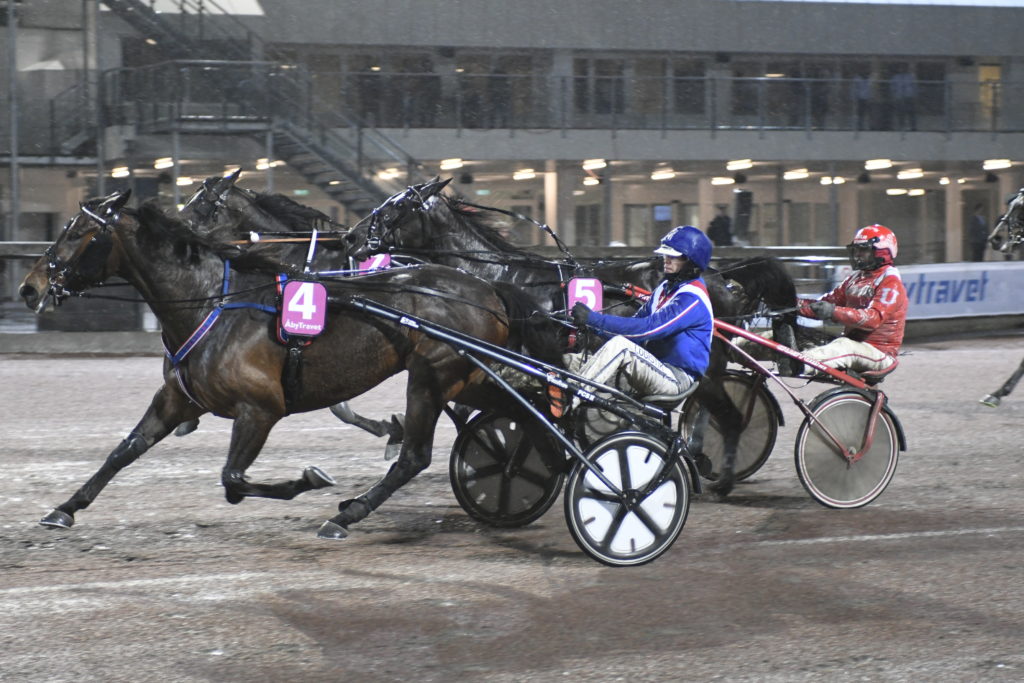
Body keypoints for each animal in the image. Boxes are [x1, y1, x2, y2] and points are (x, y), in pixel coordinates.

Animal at [18, 190, 563, 539]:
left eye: (78, 233)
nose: (29, 287)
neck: (214, 303)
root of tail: (489, 288)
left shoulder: (260, 409)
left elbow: (233, 480)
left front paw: (310, 480)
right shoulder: (175, 399)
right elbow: (123, 451)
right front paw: (64, 509)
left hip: (431, 378)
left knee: (416, 456)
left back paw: (348, 514)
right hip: (468, 377)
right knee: (528, 414)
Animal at [343, 178, 802, 495]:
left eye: (397, 205)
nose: (350, 236)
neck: (497, 278)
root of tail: (722, 278)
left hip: (704, 371)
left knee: (728, 416)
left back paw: (719, 477)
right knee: (708, 413)